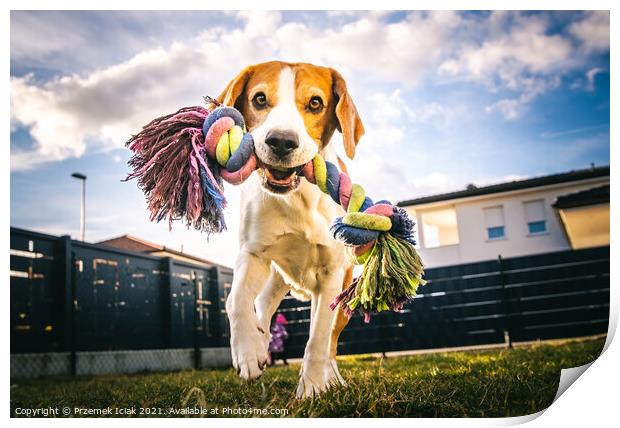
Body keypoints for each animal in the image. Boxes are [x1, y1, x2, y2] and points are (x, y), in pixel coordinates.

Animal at [217, 61, 364, 398]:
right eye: (259, 99)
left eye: (315, 103)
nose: (282, 141)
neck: (296, 198)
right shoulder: (253, 254)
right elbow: (236, 301)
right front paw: (248, 353)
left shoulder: (330, 274)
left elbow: (318, 340)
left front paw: (311, 389)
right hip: (276, 276)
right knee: (261, 304)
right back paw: (260, 341)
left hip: (342, 297)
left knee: (330, 341)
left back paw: (332, 378)